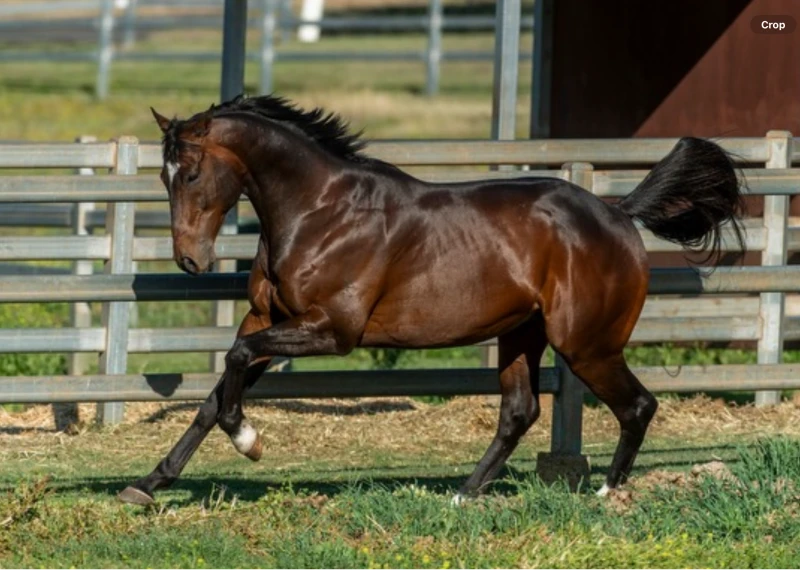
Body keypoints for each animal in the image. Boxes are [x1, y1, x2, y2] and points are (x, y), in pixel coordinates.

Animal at [118, 94, 745, 506]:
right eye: (163, 177)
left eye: (191, 173)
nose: (189, 261)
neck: (319, 211)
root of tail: (618, 214)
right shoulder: (269, 318)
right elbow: (216, 390)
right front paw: (147, 485)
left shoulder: (331, 329)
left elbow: (234, 363)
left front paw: (250, 442)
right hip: (522, 334)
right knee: (520, 412)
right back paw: (463, 495)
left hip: (585, 344)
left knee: (636, 406)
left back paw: (606, 495)